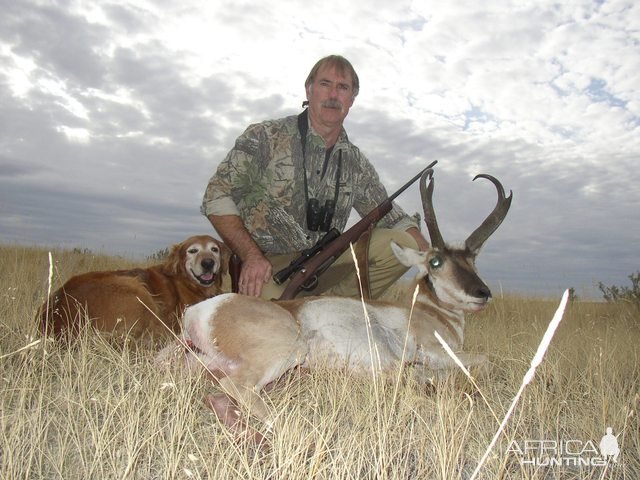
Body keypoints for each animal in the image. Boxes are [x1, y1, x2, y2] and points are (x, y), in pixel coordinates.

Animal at [160, 170, 510, 442]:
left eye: (473, 259)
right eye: (435, 262)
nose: (482, 293)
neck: (429, 312)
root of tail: (202, 310)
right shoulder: (433, 350)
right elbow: (485, 361)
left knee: (220, 396)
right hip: (287, 353)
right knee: (240, 390)